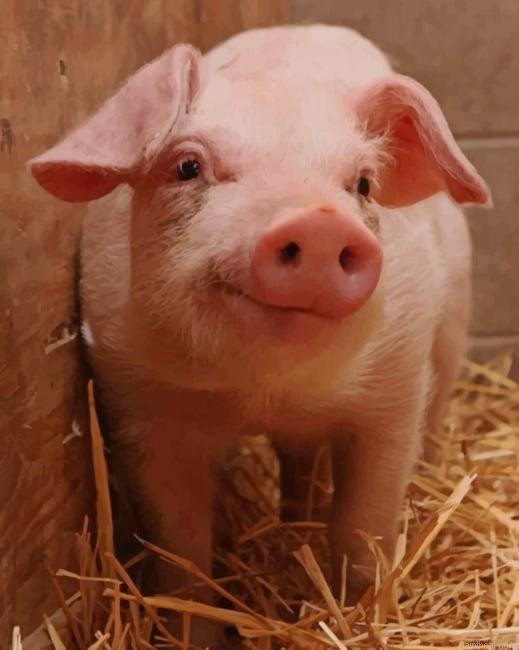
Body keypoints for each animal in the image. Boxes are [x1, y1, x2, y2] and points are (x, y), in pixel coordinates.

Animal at [30, 23, 490, 640]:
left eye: (363, 184)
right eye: (187, 166)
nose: (320, 222)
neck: (264, 390)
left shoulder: (394, 389)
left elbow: (363, 522)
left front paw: (354, 616)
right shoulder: (136, 402)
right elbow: (181, 548)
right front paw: (193, 636)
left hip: (452, 325)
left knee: (431, 424)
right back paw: (292, 520)